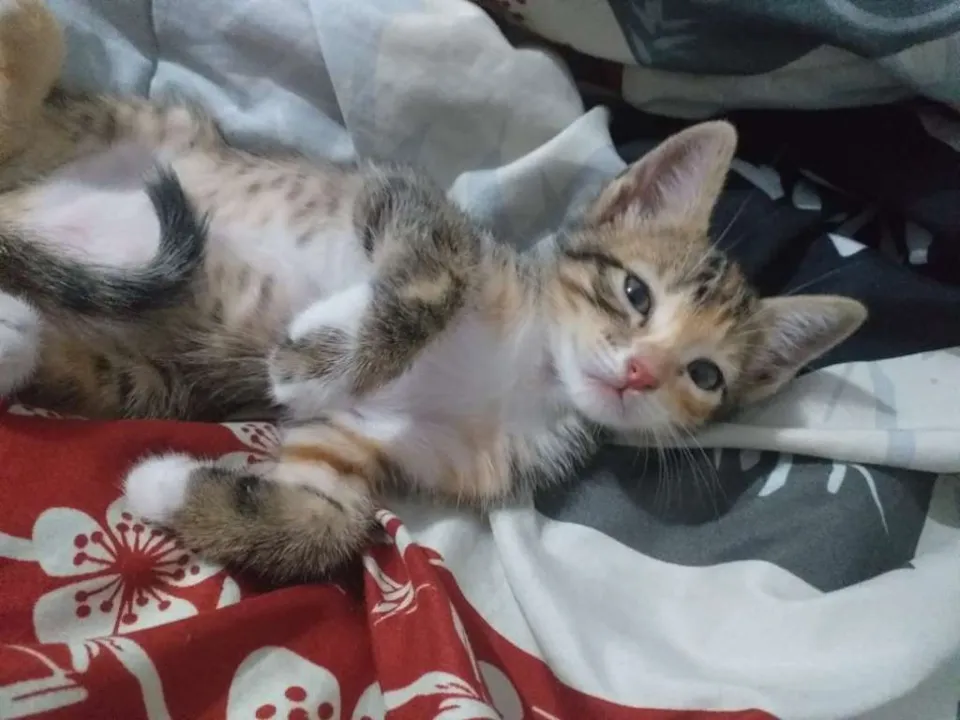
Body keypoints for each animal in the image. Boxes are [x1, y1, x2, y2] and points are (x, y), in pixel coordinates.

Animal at [0, 0, 867, 583]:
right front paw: (317, 353)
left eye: (706, 375)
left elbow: (323, 526)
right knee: (35, 70)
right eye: (634, 292)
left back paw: (14, 332)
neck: (528, 373)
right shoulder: (413, 207)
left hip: (143, 373)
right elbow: (430, 284)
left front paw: (162, 484)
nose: (638, 373)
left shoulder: (358, 444)